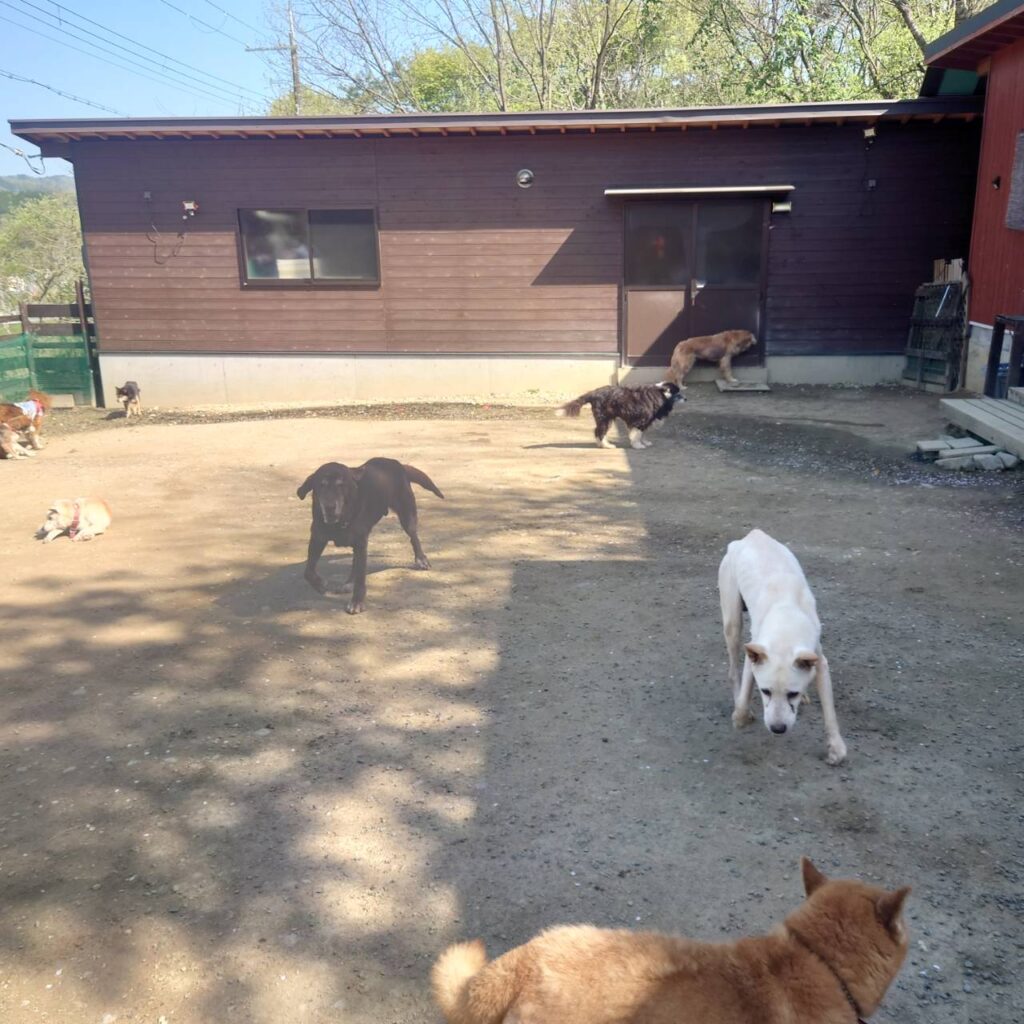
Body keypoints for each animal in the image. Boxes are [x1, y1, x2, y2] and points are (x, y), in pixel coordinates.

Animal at [297, 457, 443, 614]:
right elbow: (308, 571)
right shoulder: (317, 538)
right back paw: (349, 583)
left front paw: (357, 602)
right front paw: (319, 584)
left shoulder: (361, 543)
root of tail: (395, 463)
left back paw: (421, 559)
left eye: (341, 485)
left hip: (407, 514)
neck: (340, 521)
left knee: (414, 537)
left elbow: (361, 577)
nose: (330, 507)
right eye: (321, 485)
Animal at [719, 528, 847, 764]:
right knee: (733, 670)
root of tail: (751, 536)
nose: (778, 729)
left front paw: (836, 747)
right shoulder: (754, 657)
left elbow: (830, 712)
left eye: (792, 693)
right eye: (765, 691)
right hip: (732, 622)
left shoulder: (820, 662)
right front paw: (741, 717)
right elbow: (744, 697)